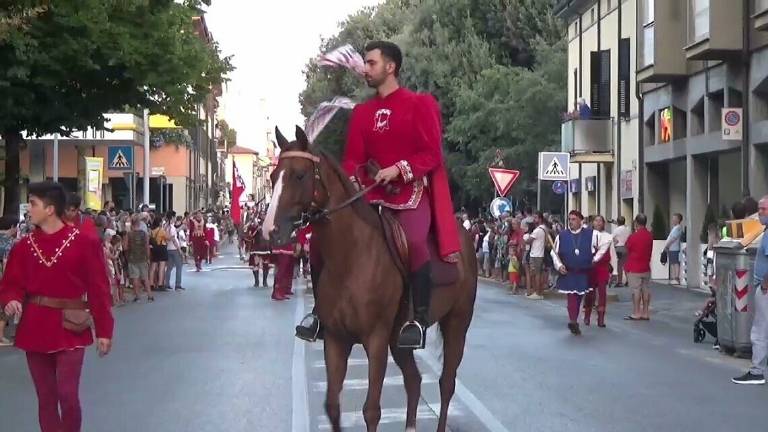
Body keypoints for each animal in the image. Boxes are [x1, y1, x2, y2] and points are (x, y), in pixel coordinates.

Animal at [268, 125, 476, 432]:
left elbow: (371, 410)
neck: (351, 256)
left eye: (300, 175)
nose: (270, 229)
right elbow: (332, 406)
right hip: (399, 340)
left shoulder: (375, 338)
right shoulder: (336, 339)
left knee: (446, 383)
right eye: (273, 177)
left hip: (456, 323)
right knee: (414, 381)